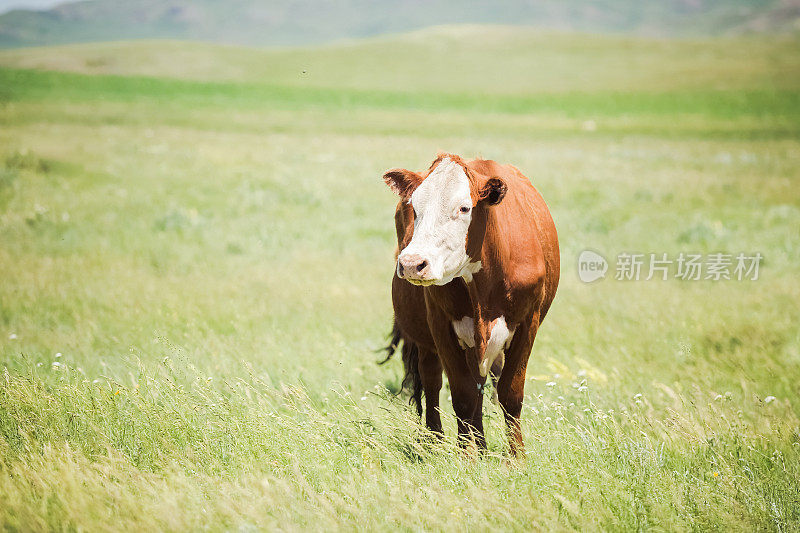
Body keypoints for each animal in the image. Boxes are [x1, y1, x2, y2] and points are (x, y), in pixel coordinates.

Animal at [382, 152, 560, 456]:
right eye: (414, 207)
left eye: (464, 208)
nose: (412, 263)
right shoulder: (442, 326)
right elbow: (463, 395)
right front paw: (467, 456)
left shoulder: (528, 324)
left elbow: (510, 394)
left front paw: (516, 458)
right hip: (430, 342)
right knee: (433, 381)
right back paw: (437, 441)